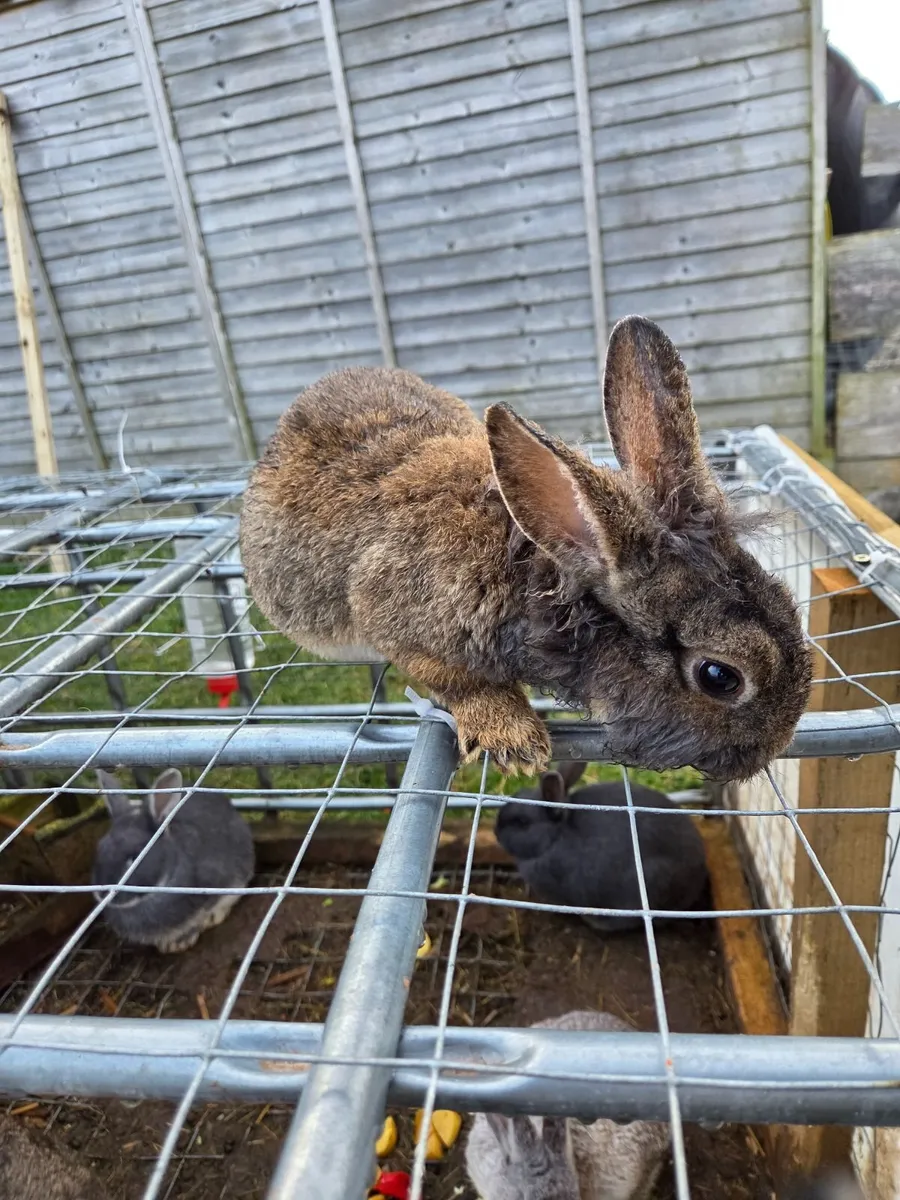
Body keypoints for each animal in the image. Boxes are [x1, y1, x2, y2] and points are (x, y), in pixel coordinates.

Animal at [239, 314, 811, 780]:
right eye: (720, 676)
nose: (771, 750)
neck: (542, 568)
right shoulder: (397, 621)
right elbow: (458, 682)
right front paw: (516, 742)